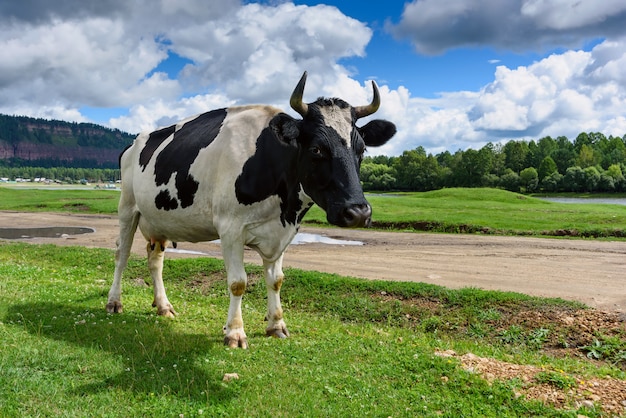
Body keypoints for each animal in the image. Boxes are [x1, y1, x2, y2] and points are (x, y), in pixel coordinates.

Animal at [104, 70, 392, 348]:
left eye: (361, 150)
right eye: (316, 149)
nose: (358, 213)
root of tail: (134, 142)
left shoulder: (283, 231)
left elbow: (276, 279)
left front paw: (276, 325)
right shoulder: (230, 228)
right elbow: (238, 282)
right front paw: (234, 332)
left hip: (159, 219)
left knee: (155, 260)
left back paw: (163, 306)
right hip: (127, 208)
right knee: (122, 254)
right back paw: (114, 301)